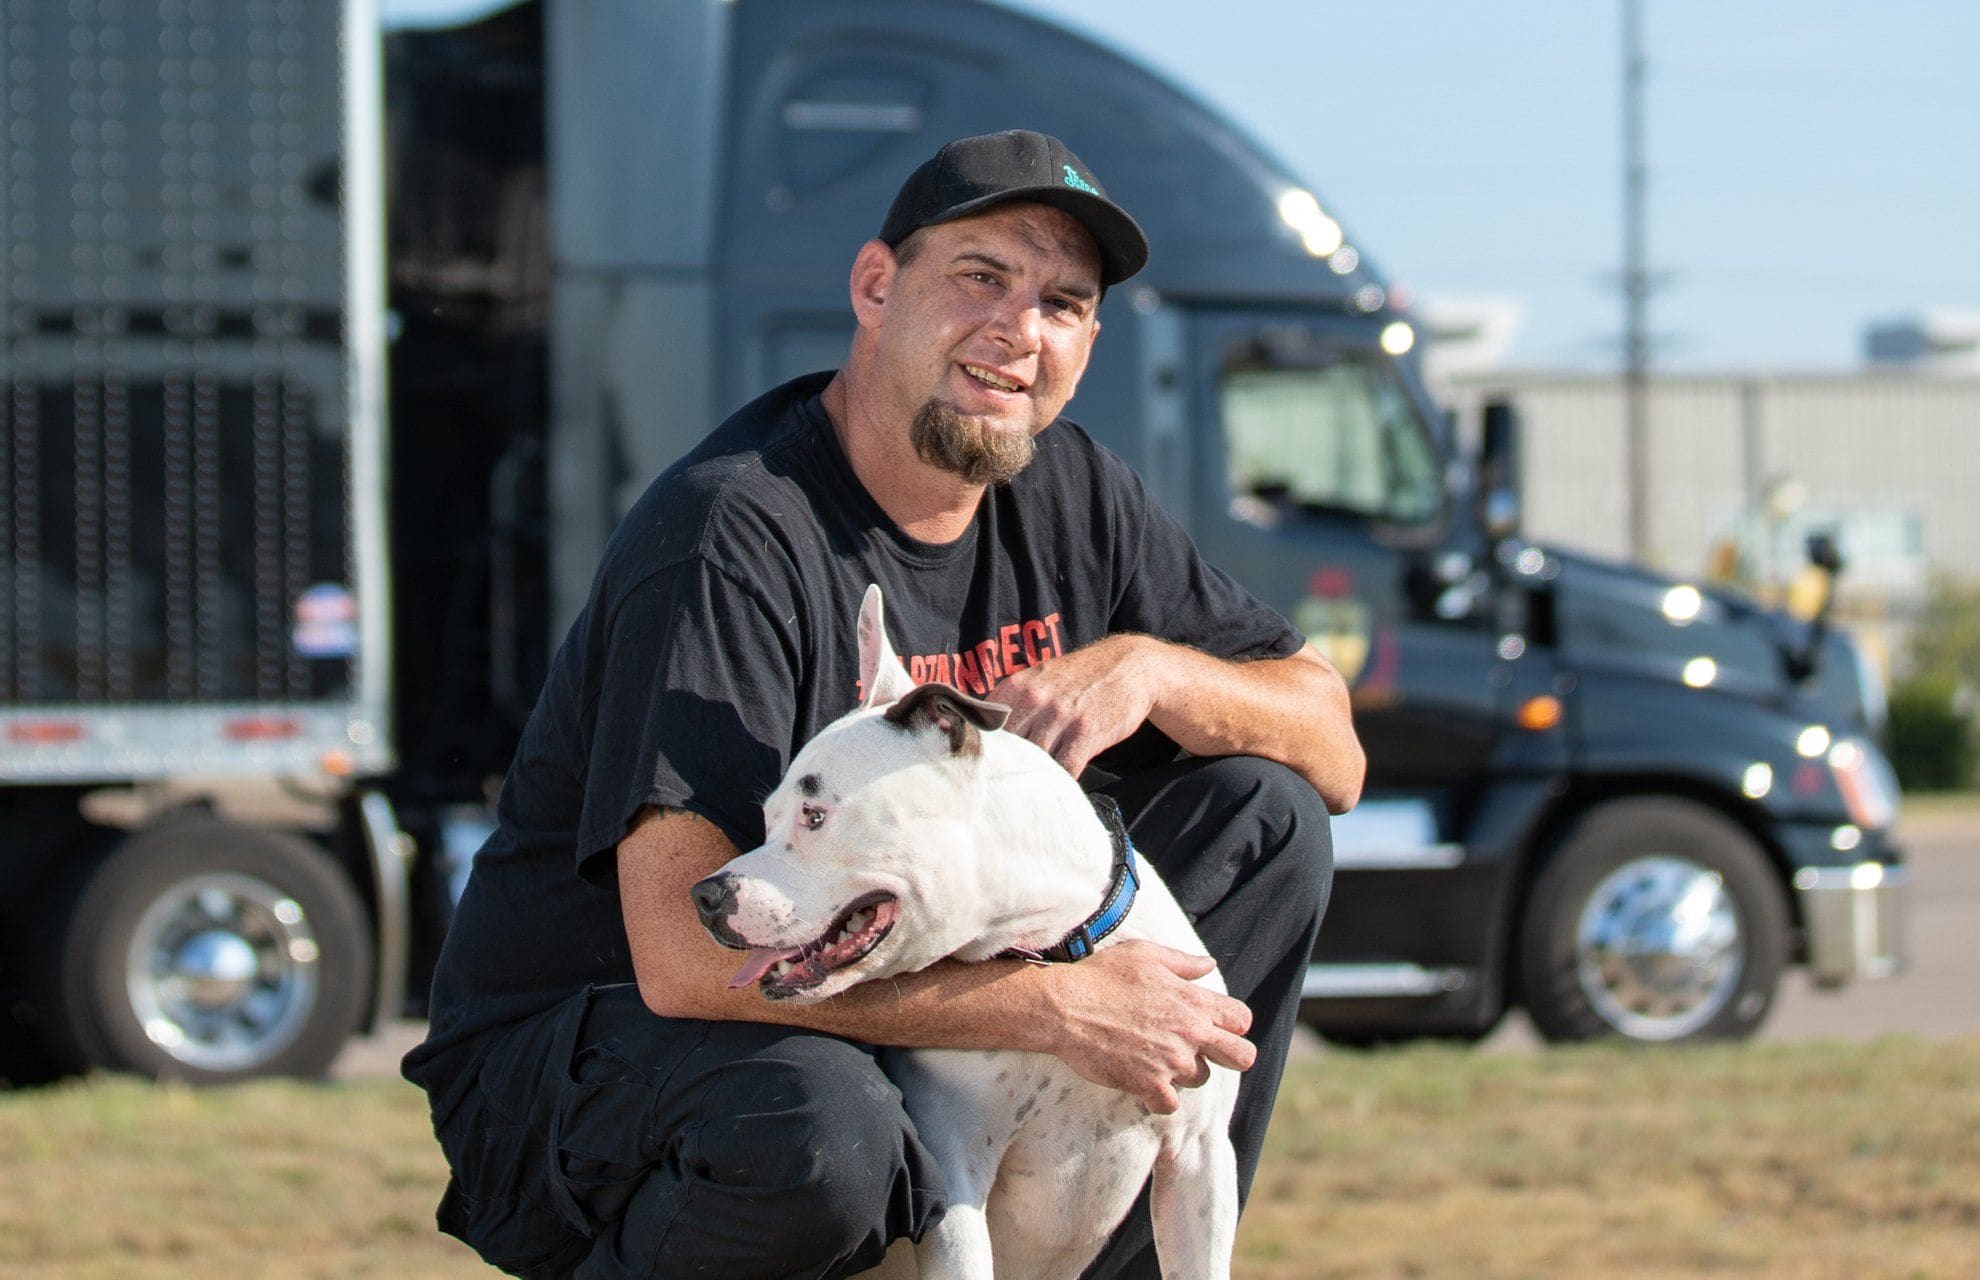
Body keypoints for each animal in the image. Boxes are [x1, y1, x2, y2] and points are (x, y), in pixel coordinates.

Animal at [696, 590, 1235, 1280]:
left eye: (814, 816)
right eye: (766, 818)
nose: (706, 897)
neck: (1055, 950)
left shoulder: (1200, 1161)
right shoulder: (954, 1182)